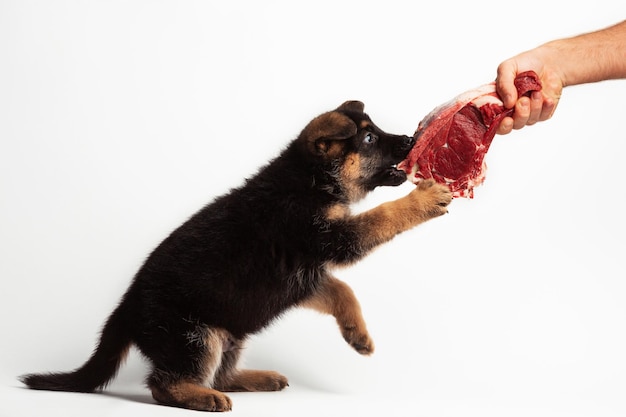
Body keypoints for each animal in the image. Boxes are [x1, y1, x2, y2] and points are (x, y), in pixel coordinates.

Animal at [19, 100, 448, 410]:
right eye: (370, 139)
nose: (410, 139)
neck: (311, 180)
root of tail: (125, 309)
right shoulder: (329, 240)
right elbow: (384, 216)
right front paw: (424, 198)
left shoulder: (304, 276)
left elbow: (343, 290)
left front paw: (357, 334)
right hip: (194, 336)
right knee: (162, 383)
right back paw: (201, 396)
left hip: (231, 330)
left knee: (221, 373)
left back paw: (253, 378)